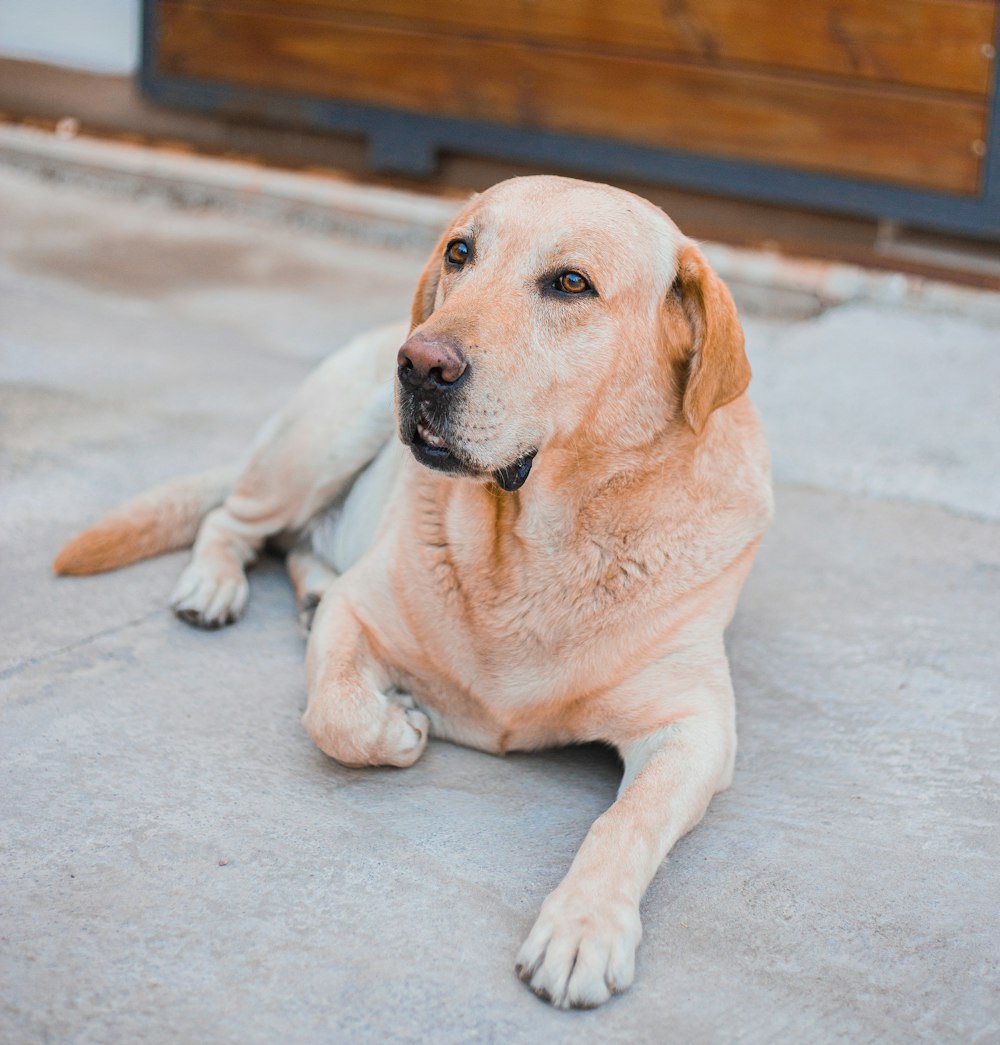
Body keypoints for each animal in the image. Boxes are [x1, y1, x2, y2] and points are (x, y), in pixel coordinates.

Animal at [54, 175, 773, 1007]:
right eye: (460, 251)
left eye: (571, 283)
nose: (421, 363)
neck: (537, 543)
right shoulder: (360, 612)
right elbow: (333, 711)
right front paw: (394, 724)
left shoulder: (697, 727)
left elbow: (626, 820)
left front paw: (583, 925)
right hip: (318, 444)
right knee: (231, 519)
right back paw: (213, 583)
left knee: (296, 546)